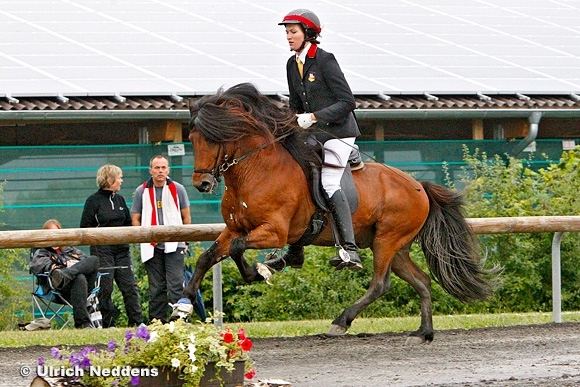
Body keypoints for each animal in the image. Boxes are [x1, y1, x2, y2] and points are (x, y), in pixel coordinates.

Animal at [184, 83, 496, 344]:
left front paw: (259, 271)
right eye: (192, 138)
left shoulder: (274, 232)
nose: (202, 184)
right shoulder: (234, 228)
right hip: (396, 247)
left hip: (386, 240)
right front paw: (183, 309)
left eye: (212, 140)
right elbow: (207, 257)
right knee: (421, 280)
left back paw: (341, 320)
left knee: (380, 284)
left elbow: (238, 249)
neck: (255, 171)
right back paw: (423, 333)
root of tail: (419, 186)